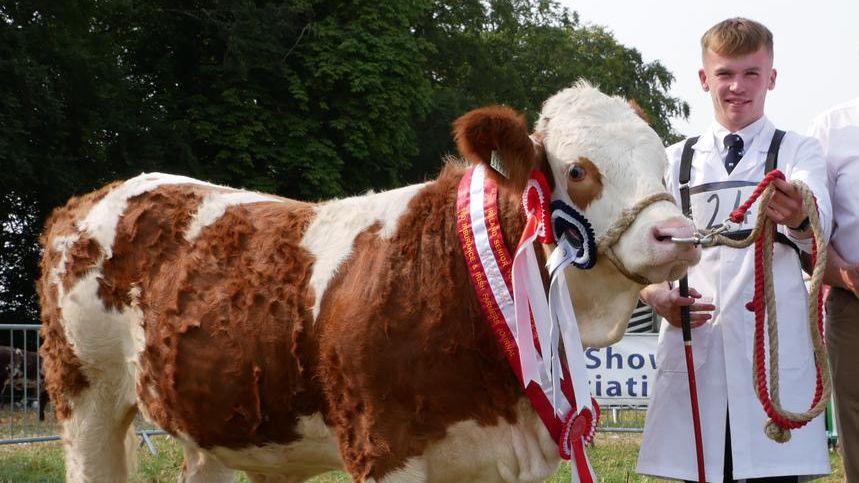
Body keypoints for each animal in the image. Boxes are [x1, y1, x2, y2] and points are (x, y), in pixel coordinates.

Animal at [38, 84, 700, 483]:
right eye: (579, 170)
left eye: (663, 166)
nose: (676, 234)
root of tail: (90, 200)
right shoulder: (383, 449)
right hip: (86, 398)